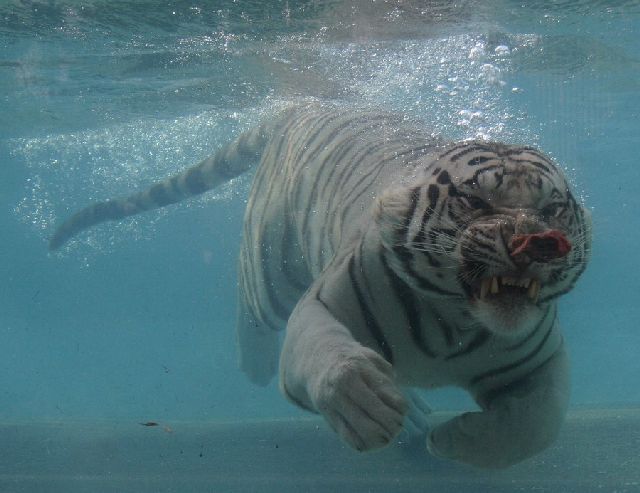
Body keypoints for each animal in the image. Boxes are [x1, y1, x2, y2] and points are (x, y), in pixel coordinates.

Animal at [50, 104, 592, 466]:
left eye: (552, 209)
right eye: (476, 202)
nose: (536, 244)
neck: (454, 318)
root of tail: (300, 106)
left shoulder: (542, 357)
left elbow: (539, 422)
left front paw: (450, 440)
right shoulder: (322, 307)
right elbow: (329, 357)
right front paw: (365, 406)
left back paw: (418, 421)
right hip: (272, 266)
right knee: (252, 306)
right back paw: (256, 364)